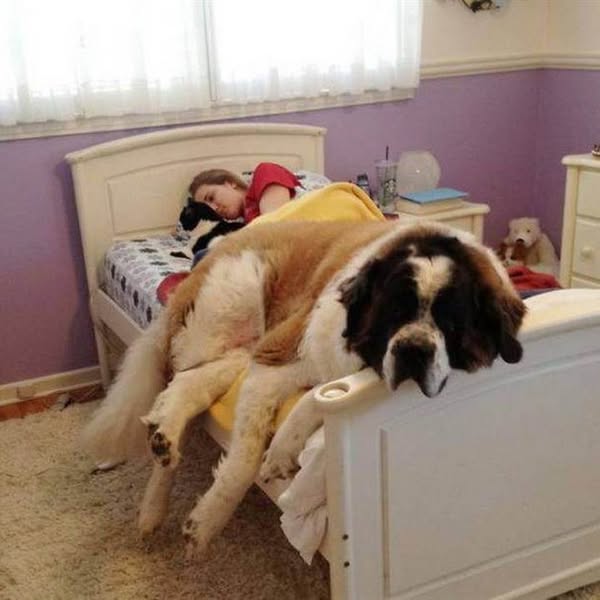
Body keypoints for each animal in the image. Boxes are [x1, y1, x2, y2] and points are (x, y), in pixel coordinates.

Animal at [81, 220, 526, 557]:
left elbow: (321, 393)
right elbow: (244, 461)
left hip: (240, 349)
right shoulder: (276, 355)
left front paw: (283, 448)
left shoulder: (300, 365)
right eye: (394, 311)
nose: (414, 348)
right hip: (233, 303)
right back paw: (155, 497)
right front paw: (206, 524)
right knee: (178, 383)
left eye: (451, 323)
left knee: (188, 383)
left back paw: (163, 446)